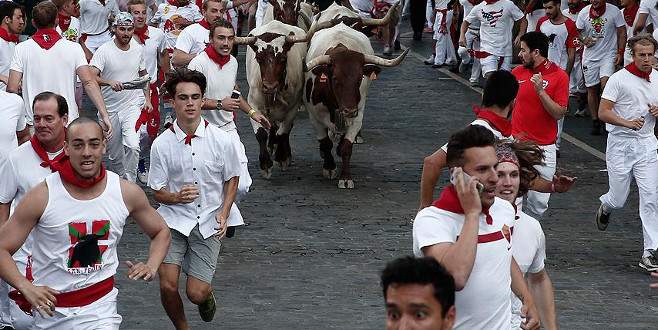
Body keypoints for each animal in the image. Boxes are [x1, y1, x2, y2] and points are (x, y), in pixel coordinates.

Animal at [302, 22, 404, 188]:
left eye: (359, 78)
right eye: (335, 79)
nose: (349, 110)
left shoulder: (357, 116)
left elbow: (346, 147)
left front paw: (345, 177)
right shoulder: (315, 117)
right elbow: (325, 143)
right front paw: (329, 167)